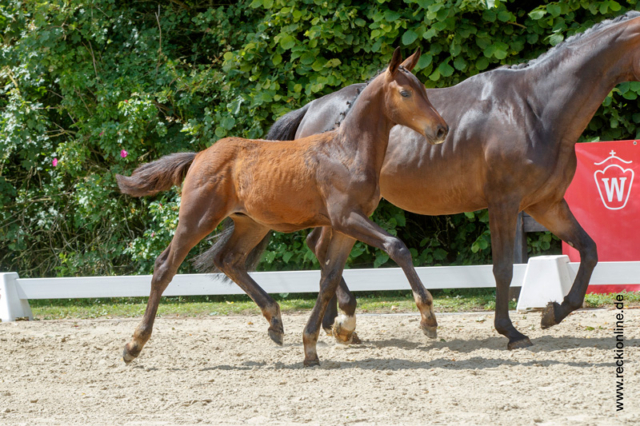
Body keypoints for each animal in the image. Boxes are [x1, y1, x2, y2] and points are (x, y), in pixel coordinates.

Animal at [117, 47, 448, 366]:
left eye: (424, 89)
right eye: (405, 92)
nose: (441, 129)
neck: (346, 152)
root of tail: (199, 155)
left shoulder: (346, 227)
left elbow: (329, 279)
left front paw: (311, 346)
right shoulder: (347, 218)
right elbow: (396, 246)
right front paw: (428, 318)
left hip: (251, 224)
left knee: (229, 260)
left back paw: (275, 321)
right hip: (196, 219)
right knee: (165, 267)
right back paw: (134, 344)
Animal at [254, 10, 640, 350]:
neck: (534, 108)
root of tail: (313, 107)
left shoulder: (546, 204)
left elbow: (589, 251)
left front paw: (553, 312)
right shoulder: (505, 203)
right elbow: (503, 268)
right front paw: (510, 331)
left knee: (320, 248)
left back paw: (336, 322)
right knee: (322, 249)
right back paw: (341, 320)